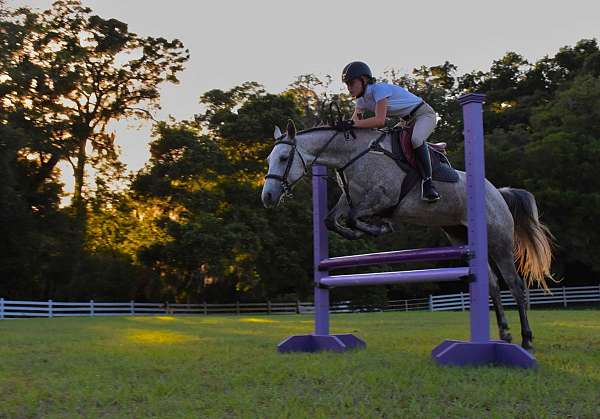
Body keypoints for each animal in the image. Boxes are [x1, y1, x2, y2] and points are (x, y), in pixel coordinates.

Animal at [260, 120, 556, 350]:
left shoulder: (383, 198)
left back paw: (527, 339)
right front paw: (360, 231)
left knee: (515, 285)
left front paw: (380, 228)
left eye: (284, 159)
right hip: (461, 236)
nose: (268, 197)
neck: (353, 155)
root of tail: (498, 192)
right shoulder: (350, 201)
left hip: (498, 242)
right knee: (493, 284)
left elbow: (356, 217)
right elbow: (331, 220)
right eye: (268, 160)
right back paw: (505, 333)